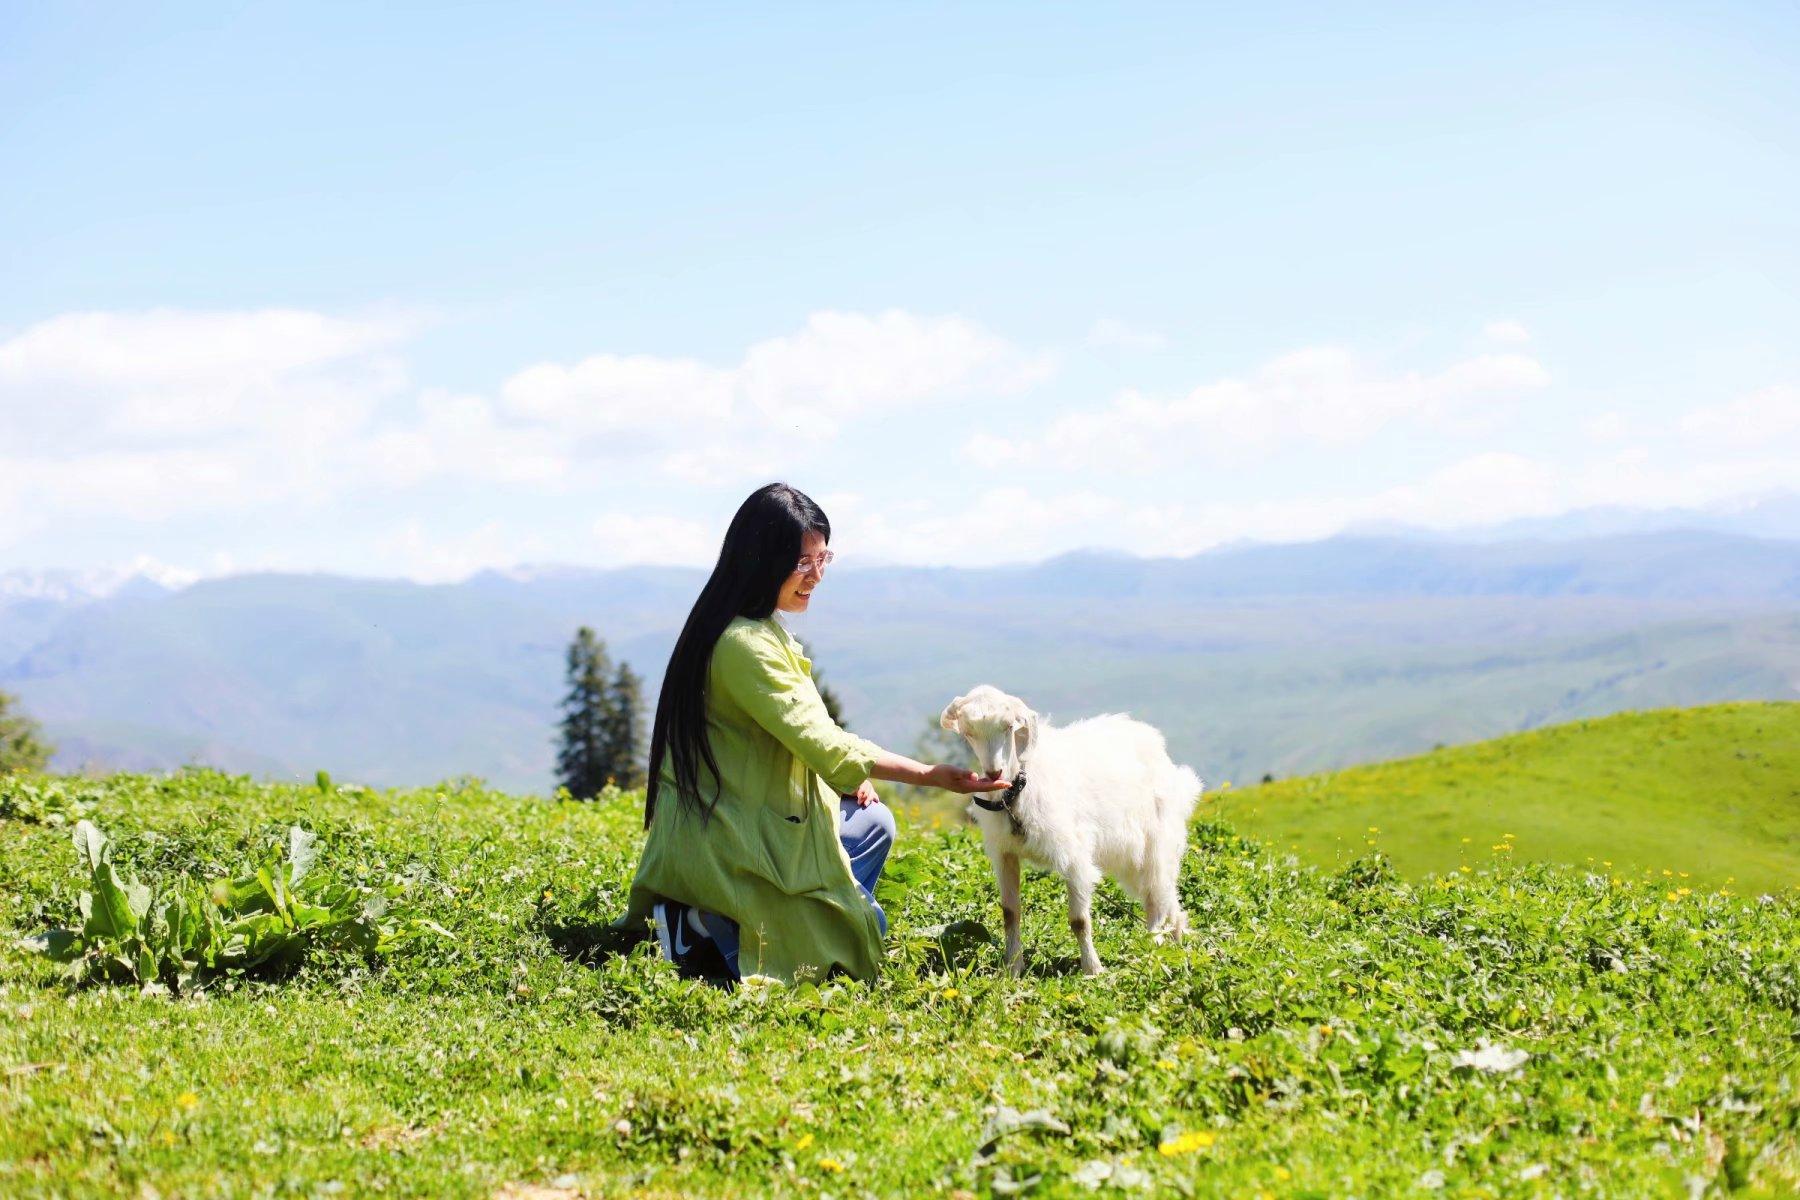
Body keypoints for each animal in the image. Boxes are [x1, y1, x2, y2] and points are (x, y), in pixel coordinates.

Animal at [936, 683, 1202, 978]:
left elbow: (1078, 920)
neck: (1016, 795)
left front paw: (1093, 969)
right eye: (969, 732)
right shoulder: (1005, 854)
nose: (995, 773)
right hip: (1131, 855)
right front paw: (1013, 969)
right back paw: (1176, 940)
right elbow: (1010, 913)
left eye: (1008, 727)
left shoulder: (1074, 856)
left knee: (1157, 895)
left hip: (1156, 839)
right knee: (1165, 894)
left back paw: (1153, 947)